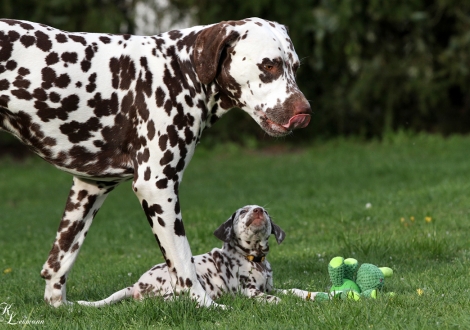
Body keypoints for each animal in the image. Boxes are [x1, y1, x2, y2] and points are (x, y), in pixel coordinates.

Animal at [78, 206, 324, 306]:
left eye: (264, 211)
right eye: (244, 211)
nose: (258, 211)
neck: (254, 259)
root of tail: (136, 285)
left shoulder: (271, 286)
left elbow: (294, 290)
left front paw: (312, 294)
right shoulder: (247, 290)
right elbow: (269, 297)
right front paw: (277, 303)